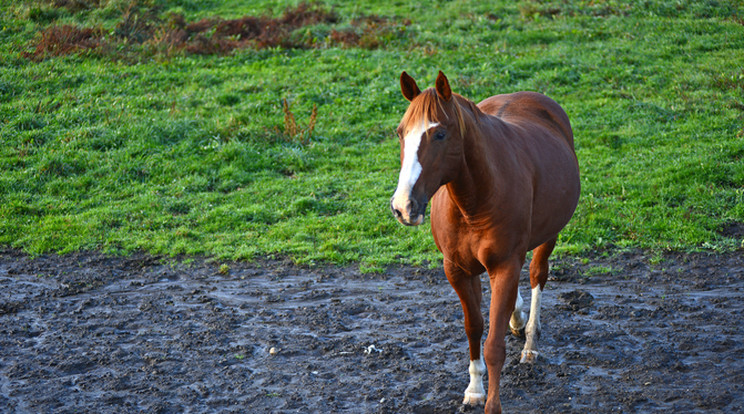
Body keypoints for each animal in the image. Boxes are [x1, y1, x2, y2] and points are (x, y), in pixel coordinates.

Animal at [386, 72, 584, 414]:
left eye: (439, 134)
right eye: (401, 133)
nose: (403, 206)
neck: (474, 202)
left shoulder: (504, 266)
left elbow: (493, 345)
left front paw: (492, 404)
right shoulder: (457, 270)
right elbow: (474, 328)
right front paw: (475, 389)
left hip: (549, 235)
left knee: (537, 275)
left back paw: (530, 342)